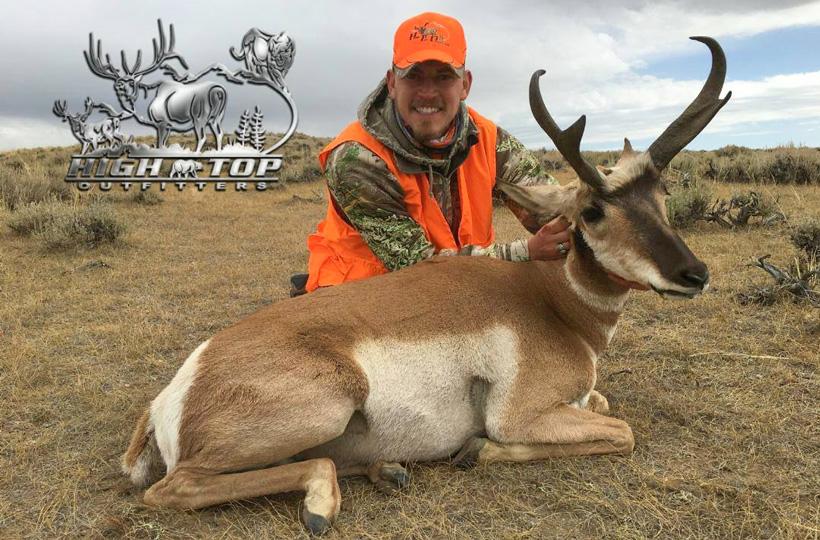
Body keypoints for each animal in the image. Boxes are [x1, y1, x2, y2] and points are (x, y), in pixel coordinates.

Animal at [122, 37, 730, 535]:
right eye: (593, 211)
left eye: (663, 195)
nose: (694, 274)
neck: (553, 303)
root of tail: (173, 394)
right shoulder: (521, 414)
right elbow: (620, 430)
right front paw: (476, 450)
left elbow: (604, 402)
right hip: (327, 403)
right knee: (178, 487)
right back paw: (323, 503)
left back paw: (385, 469)